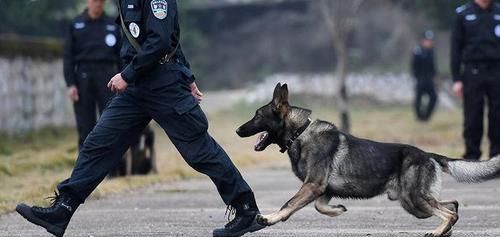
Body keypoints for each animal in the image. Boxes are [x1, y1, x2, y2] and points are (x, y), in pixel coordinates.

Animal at [235, 83, 500, 237]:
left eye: (257, 115)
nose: (237, 131)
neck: (300, 133)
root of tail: (428, 155)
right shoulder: (321, 190)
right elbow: (320, 207)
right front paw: (337, 210)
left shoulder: (312, 186)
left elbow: (288, 204)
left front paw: (269, 218)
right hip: (413, 204)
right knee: (452, 204)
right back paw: (444, 232)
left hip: (414, 199)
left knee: (450, 212)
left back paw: (438, 231)